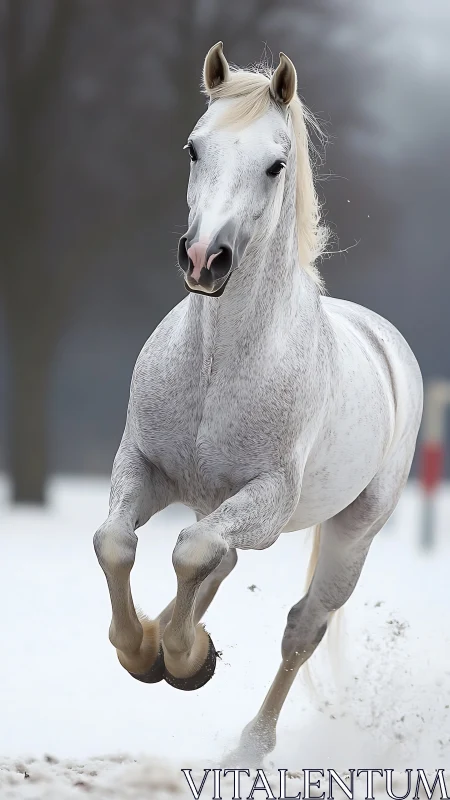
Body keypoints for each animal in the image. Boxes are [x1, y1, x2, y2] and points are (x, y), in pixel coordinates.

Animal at [93, 42, 423, 765]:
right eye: (193, 148)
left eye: (275, 164)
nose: (202, 260)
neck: (218, 365)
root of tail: (385, 342)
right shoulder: (143, 467)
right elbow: (116, 543)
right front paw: (143, 651)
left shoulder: (267, 498)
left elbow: (190, 553)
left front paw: (183, 659)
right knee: (220, 560)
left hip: (352, 532)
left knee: (301, 626)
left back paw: (247, 747)